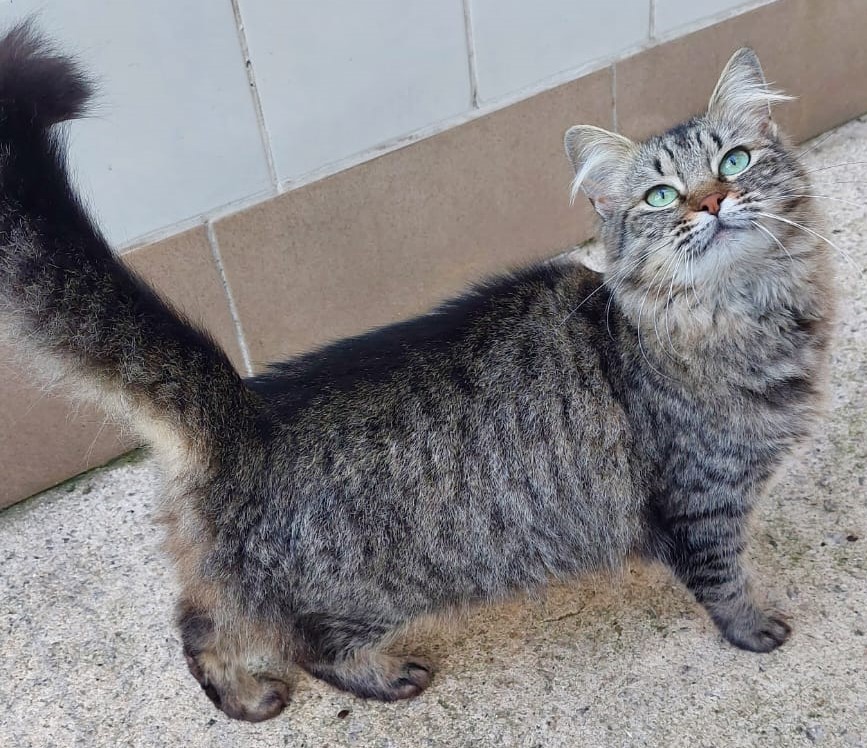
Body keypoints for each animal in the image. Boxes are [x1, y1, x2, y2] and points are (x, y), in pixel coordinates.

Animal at [0, 21, 836, 724]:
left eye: (733, 161)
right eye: (662, 196)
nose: (712, 201)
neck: (745, 313)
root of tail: (244, 406)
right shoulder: (700, 503)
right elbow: (723, 582)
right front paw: (755, 629)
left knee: (194, 622)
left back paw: (243, 700)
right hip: (359, 593)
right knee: (301, 644)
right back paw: (376, 678)